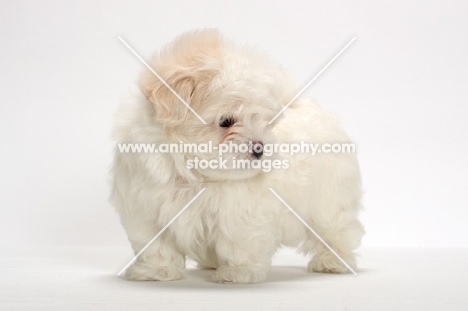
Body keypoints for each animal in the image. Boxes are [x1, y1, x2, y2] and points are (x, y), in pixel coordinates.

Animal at [110, 29, 366, 286]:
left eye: (265, 123)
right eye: (226, 121)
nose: (260, 148)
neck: (193, 172)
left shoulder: (240, 212)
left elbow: (239, 243)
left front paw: (238, 274)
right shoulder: (146, 208)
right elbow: (156, 245)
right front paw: (156, 271)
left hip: (329, 201)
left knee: (337, 230)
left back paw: (333, 262)